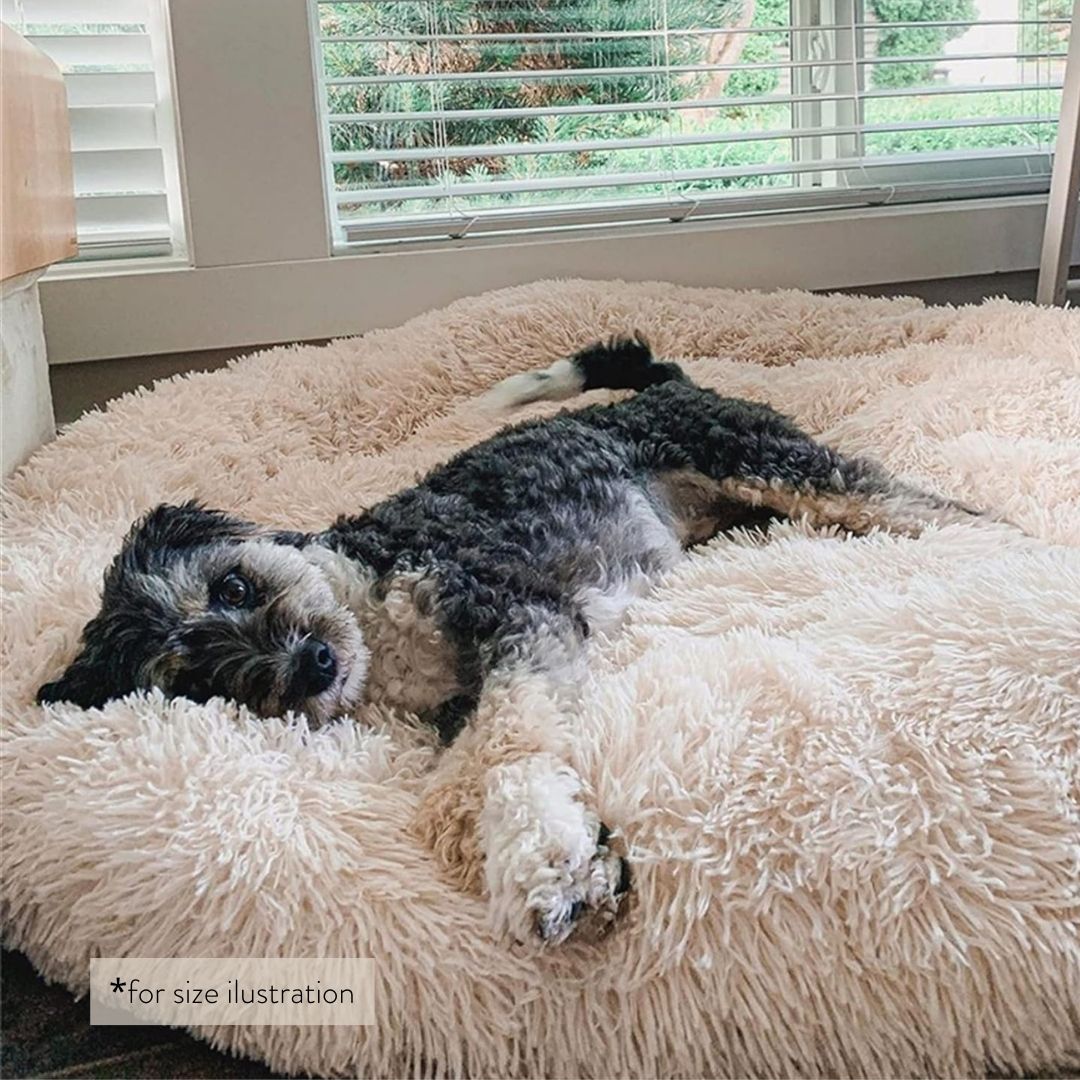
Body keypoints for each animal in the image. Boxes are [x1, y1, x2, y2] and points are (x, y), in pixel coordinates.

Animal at [35, 339, 989, 946]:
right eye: (191, 677)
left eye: (232, 587)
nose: (309, 666)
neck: (371, 600)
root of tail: (659, 386)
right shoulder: (468, 690)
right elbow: (461, 783)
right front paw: (534, 851)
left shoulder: (519, 619)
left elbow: (505, 756)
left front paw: (551, 869)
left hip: (764, 458)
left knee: (921, 504)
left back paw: (988, 548)